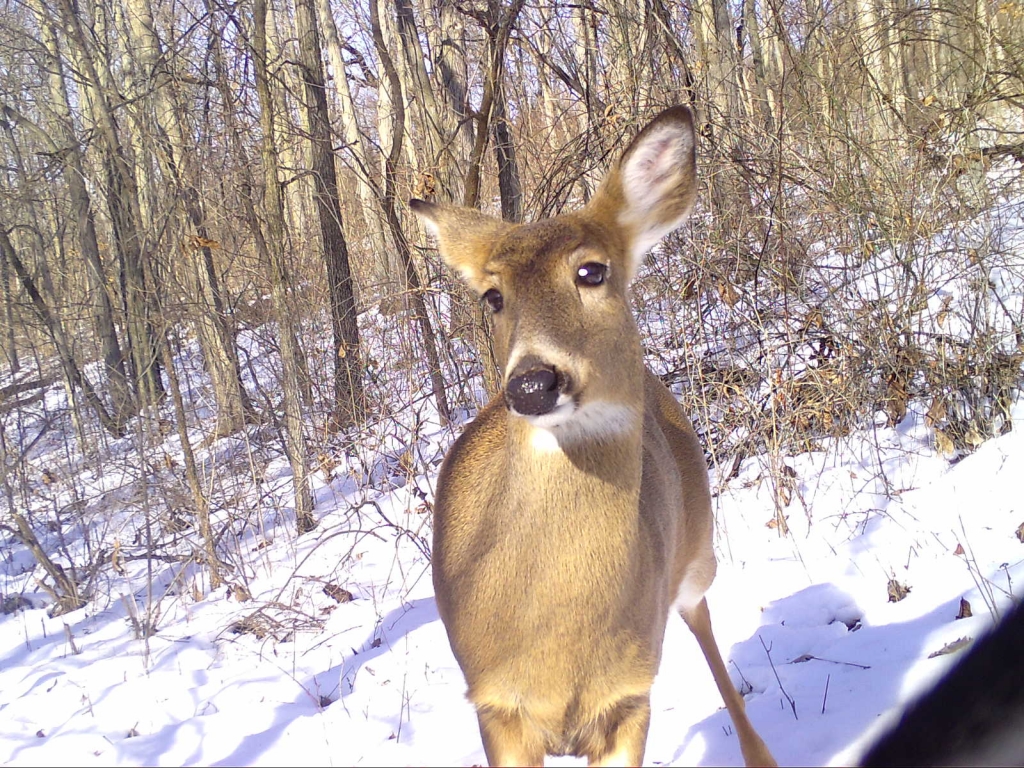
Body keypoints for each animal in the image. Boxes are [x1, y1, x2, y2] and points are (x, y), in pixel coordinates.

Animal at [407, 107, 774, 768]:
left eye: (591, 271)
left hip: (697, 551)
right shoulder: (495, 704)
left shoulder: (627, 698)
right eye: (493, 296)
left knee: (701, 617)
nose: (531, 383)